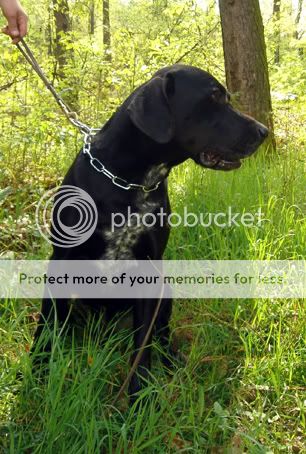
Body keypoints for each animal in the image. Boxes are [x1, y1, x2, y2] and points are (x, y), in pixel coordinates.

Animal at [32, 64, 268, 400]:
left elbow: (142, 344)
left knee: (160, 334)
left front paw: (140, 396)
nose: (264, 131)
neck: (128, 182)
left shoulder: (148, 267)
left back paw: (171, 358)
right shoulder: (61, 260)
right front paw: (37, 372)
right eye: (213, 98)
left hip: (164, 290)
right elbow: (46, 325)